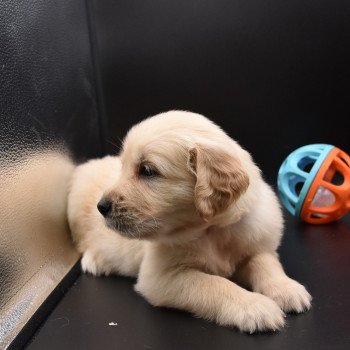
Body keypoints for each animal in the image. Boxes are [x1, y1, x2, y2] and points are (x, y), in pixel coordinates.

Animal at [68, 110, 312, 332]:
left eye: (146, 170)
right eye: (123, 166)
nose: (102, 207)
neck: (211, 230)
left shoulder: (258, 244)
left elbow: (265, 262)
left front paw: (285, 288)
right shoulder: (162, 278)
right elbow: (214, 284)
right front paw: (254, 306)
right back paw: (96, 259)